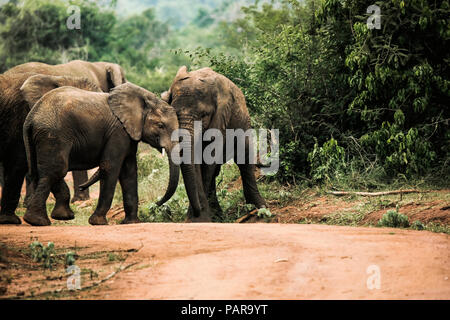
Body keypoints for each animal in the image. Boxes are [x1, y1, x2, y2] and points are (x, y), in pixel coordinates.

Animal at [21, 74, 179, 225]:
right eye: (160, 125)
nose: (157, 203)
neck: (144, 98)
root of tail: (31, 117)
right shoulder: (118, 132)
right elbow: (110, 167)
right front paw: (98, 222)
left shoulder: (129, 134)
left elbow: (129, 172)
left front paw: (131, 222)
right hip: (54, 135)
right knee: (57, 170)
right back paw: (37, 221)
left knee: (43, 170)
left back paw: (59, 216)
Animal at [163, 66, 266, 221]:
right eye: (174, 113)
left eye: (204, 115)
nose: (198, 210)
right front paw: (198, 219)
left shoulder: (220, 118)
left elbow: (208, 161)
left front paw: (197, 220)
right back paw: (218, 215)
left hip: (244, 122)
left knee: (244, 159)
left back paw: (259, 208)